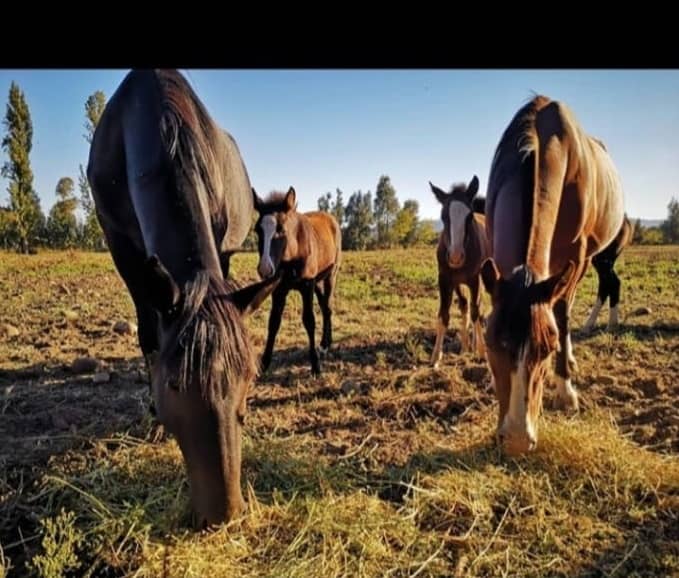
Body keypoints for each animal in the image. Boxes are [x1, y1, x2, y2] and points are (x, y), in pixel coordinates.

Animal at [87, 69, 279, 528]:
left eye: (249, 379)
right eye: (174, 384)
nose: (223, 513)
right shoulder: (122, 249)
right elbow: (148, 334)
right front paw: (154, 417)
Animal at [252, 187, 342, 376]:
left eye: (281, 229)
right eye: (257, 230)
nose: (265, 268)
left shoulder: (307, 285)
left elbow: (309, 320)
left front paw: (315, 365)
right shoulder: (279, 288)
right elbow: (273, 321)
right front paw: (264, 363)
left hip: (330, 275)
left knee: (328, 306)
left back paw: (325, 345)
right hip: (318, 282)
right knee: (325, 307)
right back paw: (325, 343)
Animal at [429, 175, 491, 368]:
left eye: (469, 216)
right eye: (443, 216)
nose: (455, 256)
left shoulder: (474, 280)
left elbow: (476, 312)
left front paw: (482, 353)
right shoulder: (445, 280)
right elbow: (444, 314)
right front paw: (436, 357)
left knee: (477, 308)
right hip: (458, 283)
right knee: (464, 305)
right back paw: (466, 346)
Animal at [480, 95, 625, 456]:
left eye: (546, 349)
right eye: (490, 343)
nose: (517, 439)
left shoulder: (574, 257)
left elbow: (560, 314)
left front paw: (565, 389)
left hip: (593, 258)